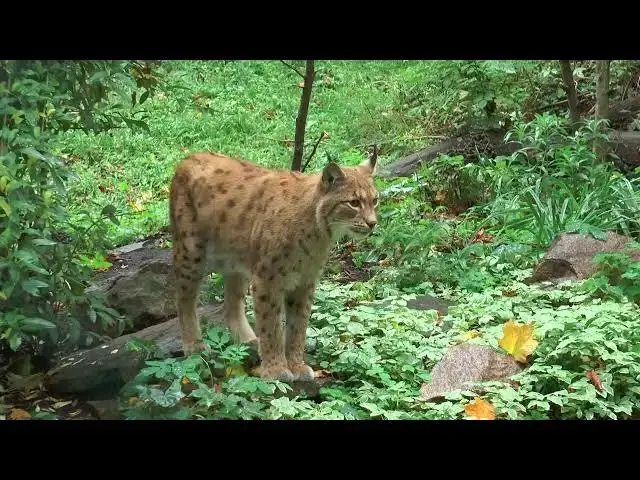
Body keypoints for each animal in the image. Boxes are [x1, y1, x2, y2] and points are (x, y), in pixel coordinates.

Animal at [169, 148, 379, 382]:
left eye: (375, 200)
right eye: (354, 203)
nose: (372, 223)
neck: (319, 229)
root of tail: (190, 157)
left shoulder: (305, 282)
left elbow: (299, 327)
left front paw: (296, 365)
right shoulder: (268, 279)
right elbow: (272, 325)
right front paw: (275, 370)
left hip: (239, 259)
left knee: (231, 304)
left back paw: (249, 342)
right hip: (191, 251)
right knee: (183, 298)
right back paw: (194, 346)